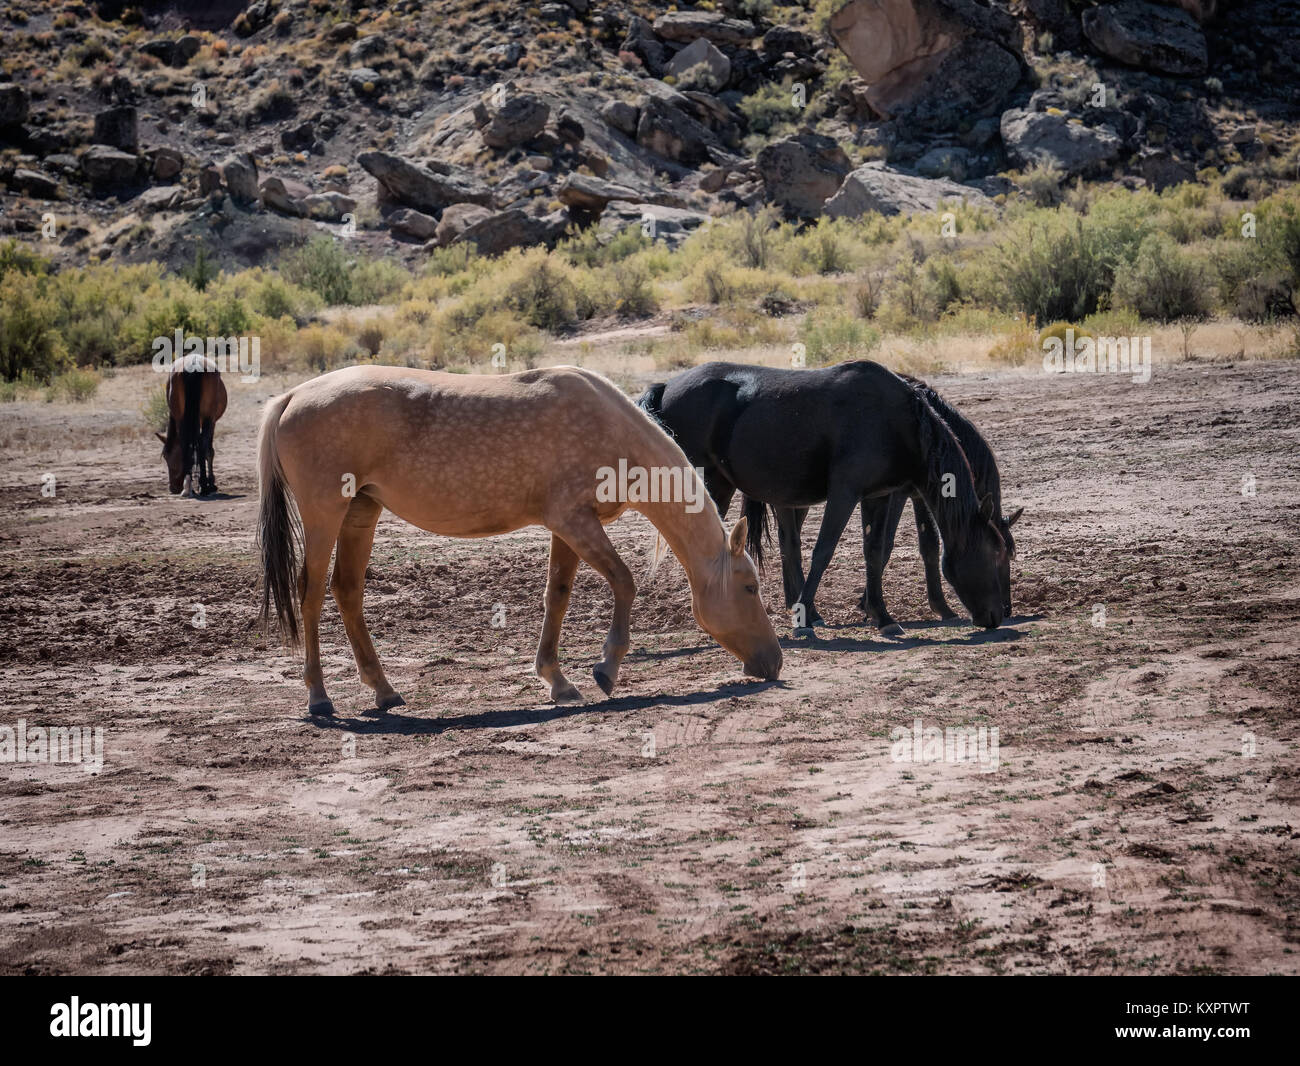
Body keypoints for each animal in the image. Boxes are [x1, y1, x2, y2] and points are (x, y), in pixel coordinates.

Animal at [157, 356, 227, 497]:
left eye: (167, 457)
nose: (173, 488)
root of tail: (193, 365)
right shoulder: (211, 421)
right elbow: (208, 450)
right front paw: (210, 483)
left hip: (182, 418)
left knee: (186, 444)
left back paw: (188, 486)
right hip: (207, 418)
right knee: (202, 444)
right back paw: (204, 486)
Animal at [257, 364, 782, 715]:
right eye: (750, 587)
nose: (774, 663)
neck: (609, 428)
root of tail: (293, 395)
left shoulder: (568, 528)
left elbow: (557, 596)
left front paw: (557, 680)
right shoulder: (576, 522)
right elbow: (625, 583)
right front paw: (605, 669)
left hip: (361, 512)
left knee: (347, 592)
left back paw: (383, 689)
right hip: (325, 514)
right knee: (310, 594)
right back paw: (319, 697)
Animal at [637, 360, 1009, 631]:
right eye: (996, 551)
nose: (999, 614)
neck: (893, 420)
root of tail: (665, 386)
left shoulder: (879, 496)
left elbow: (875, 552)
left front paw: (883, 616)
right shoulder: (845, 492)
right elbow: (823, 550)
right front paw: (804, 617)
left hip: (722, 485)